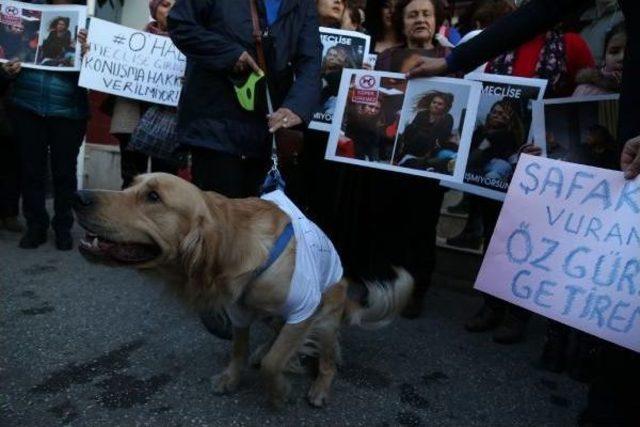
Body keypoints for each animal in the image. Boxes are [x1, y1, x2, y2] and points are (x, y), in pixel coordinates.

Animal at [72, 173, 416, 408]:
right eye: (130, 185)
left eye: (153, 197)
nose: (78, 196)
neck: (237, 246)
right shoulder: (238, 311)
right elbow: (240, 349)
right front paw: (232, 377)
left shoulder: (304, 309)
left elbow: (274, 363)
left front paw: (278, 392)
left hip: (327, 321)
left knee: (327, 359)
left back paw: (320, 385)